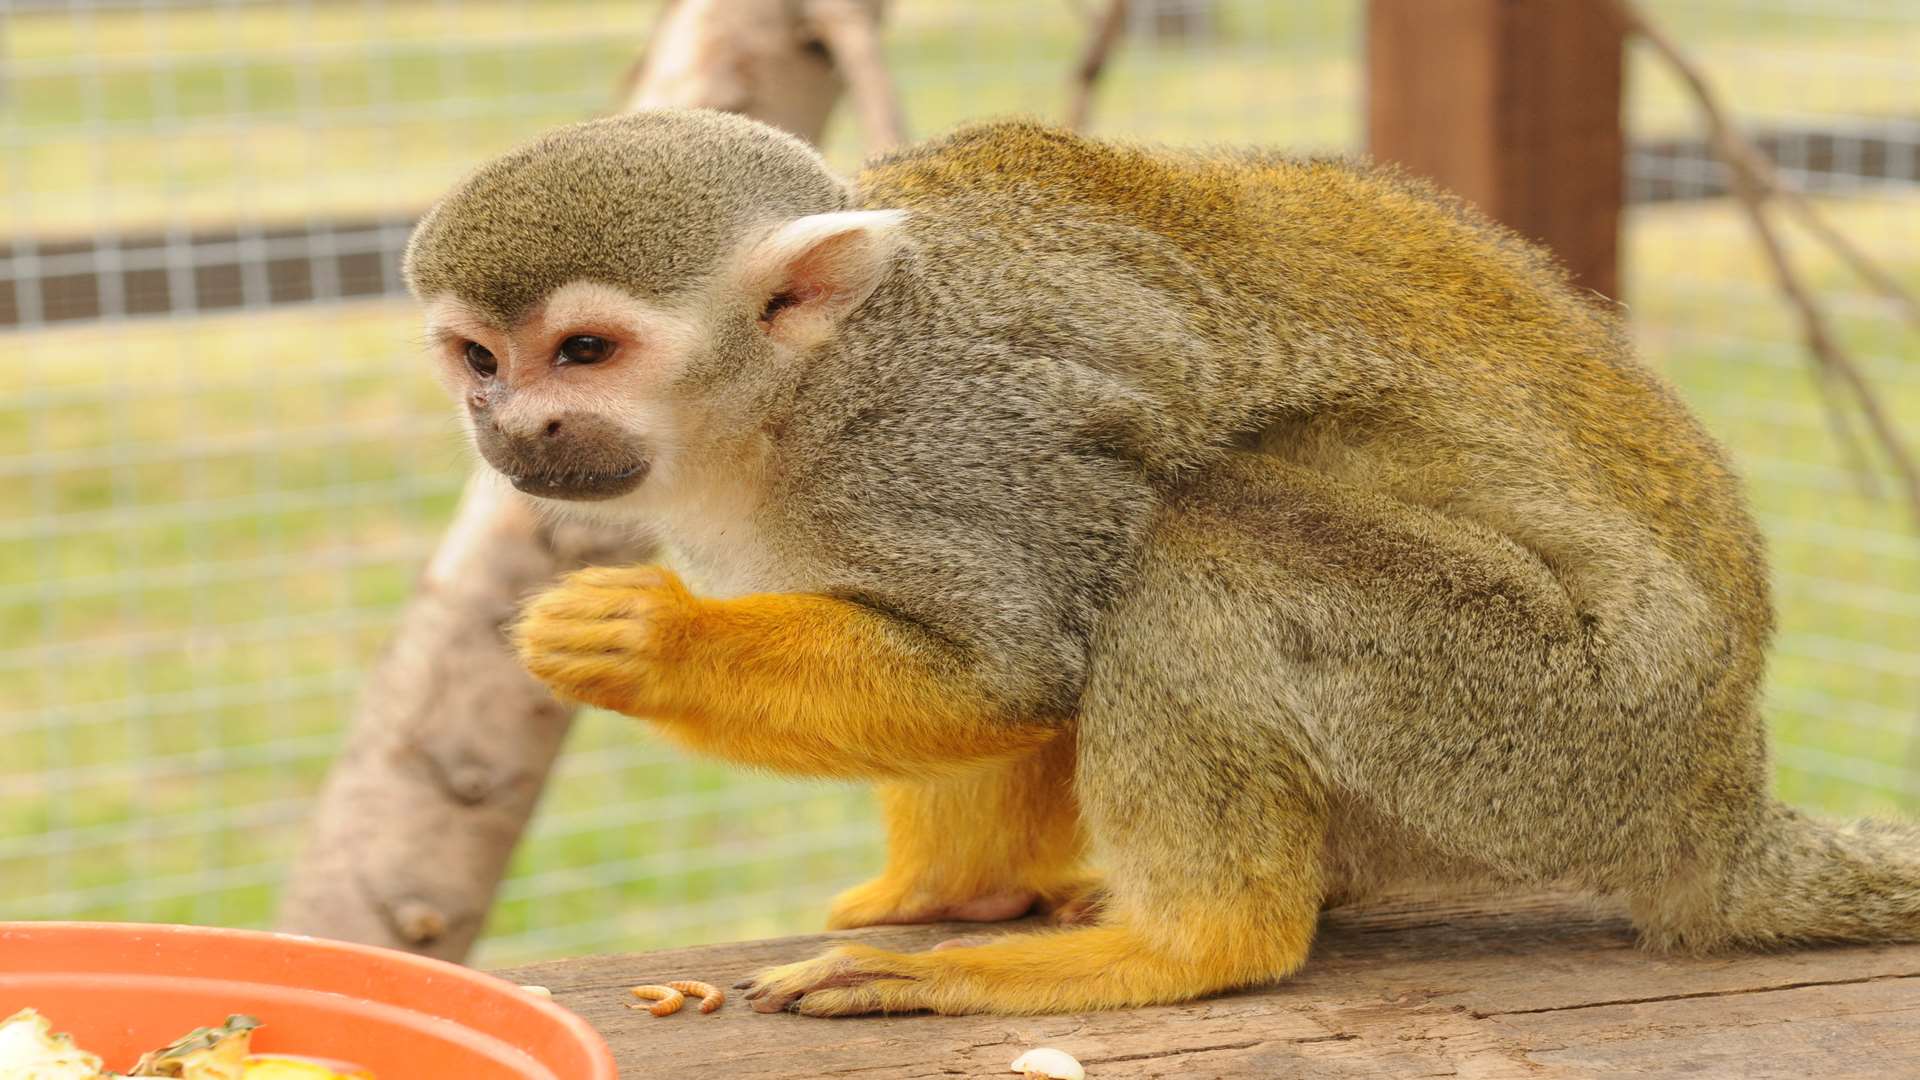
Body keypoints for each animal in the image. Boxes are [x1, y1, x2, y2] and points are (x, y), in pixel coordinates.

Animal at [405, 107, 1920, 1006]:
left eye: (584, 351)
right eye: (476, 357)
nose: (513, 426)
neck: (798, 396)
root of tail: (1717, 799)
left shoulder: (955, 438)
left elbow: (1014, 667)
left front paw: (647, 642)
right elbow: (1003, 695)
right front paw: (945, 893)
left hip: (1548, 731)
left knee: (1199, 540)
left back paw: (1183, 945)